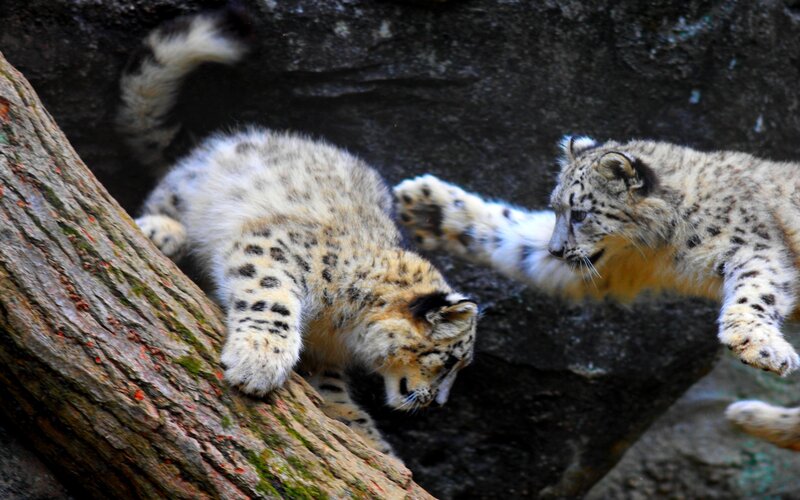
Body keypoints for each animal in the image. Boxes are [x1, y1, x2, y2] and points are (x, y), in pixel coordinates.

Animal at [116, 7, 479, 457]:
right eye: (450, 360)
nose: (437, 403)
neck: (339, 329)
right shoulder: (274, 246)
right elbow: (270, 298)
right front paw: (259, 360)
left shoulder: (327, 356)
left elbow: (332, 388)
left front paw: (367, 436)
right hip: (190, 185)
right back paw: (161, 230)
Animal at [393, 135, 800, 451]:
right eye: (555, 209)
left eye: (579, 213)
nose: (556, 250)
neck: (667, 249)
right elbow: (516, 238)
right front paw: (428, 206)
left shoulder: (753, 245)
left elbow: (757, 286)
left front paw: (757, 345)